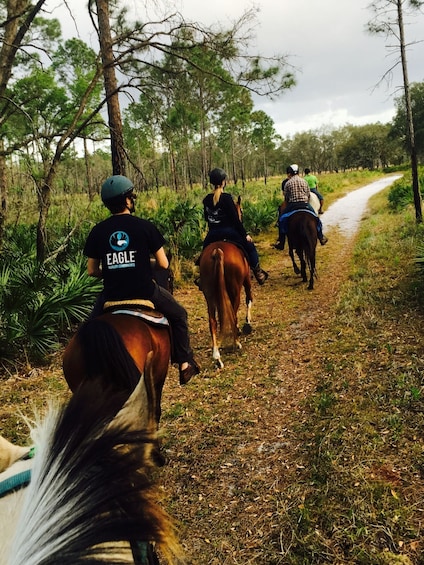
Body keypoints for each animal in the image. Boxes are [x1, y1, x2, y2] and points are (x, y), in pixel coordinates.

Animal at [199, 240, 252, 368]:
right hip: (235, 291)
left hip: (209, 295)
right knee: (233, 315)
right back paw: (236, 342)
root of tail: (217, 250)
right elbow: (249, 299)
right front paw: (247, 322)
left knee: (212, 321)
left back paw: (217, 357)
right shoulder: (247, 280)